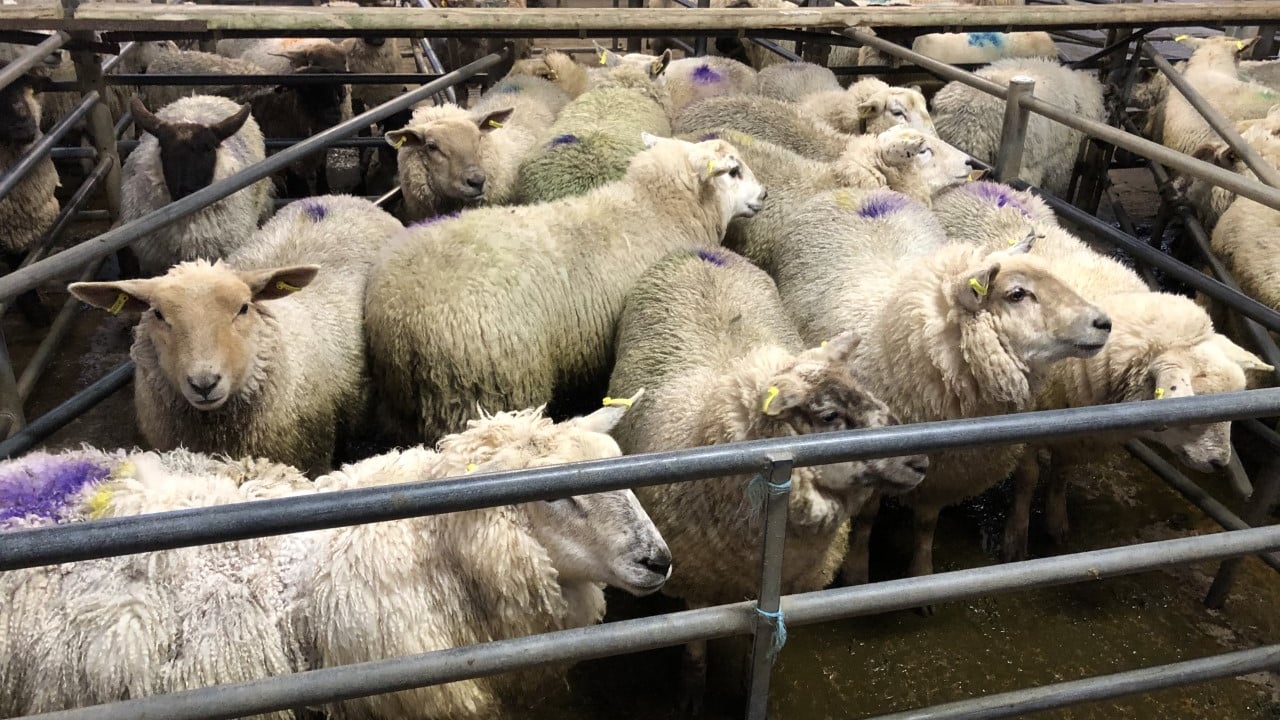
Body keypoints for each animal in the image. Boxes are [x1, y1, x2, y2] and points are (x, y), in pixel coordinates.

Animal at [364, 134, 767, 443]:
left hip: (405, 402)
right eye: (733, 171)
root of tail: (398, 314)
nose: (764, 194)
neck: (656, 209)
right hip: (485, 390)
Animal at [608, 248, 927, 710]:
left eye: (868, 393)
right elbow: (695, 647)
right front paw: (691, 694)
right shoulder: (694, 579)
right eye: (829, 416)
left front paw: (750, 685)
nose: (921, 461)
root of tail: (703, 250)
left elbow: (756, 652)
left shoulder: (776, 590)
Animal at [764, 188, 1112, 582]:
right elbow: (866, 520)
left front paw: (921, 571)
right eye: (1017, 294)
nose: (1104, 323)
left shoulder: (942, 474)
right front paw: (857, 572)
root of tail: (861, 191)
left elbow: (926, 524)